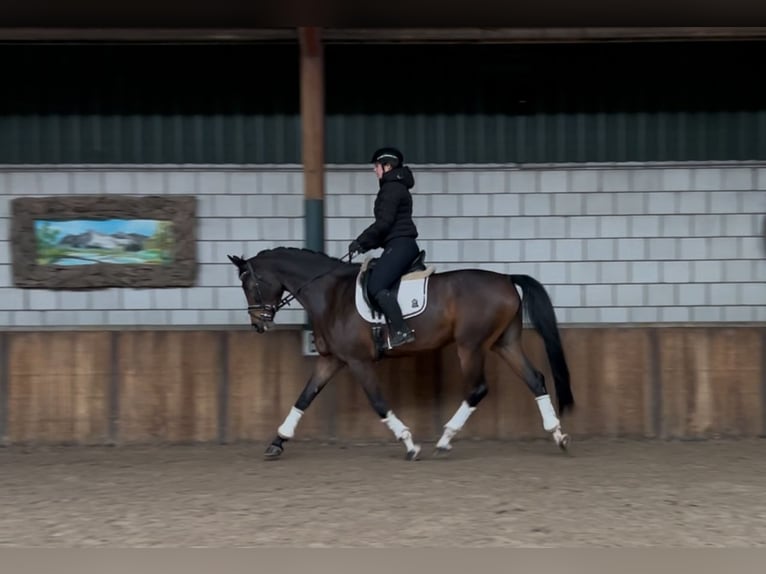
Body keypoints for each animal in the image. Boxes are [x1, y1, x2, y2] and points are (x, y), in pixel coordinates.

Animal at [228, 248, 576, 464]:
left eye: (249, 284)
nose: (258, 324)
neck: (330, 295)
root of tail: (506, 278)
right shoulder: (332, 360)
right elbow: (303, 398)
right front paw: (277, 442)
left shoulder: (358, 361)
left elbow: (378, 403)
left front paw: (409, 444)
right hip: (505, 343)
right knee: (535, 379)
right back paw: (558, 435)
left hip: (471, 346)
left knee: (478, 389)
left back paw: (444, 440)